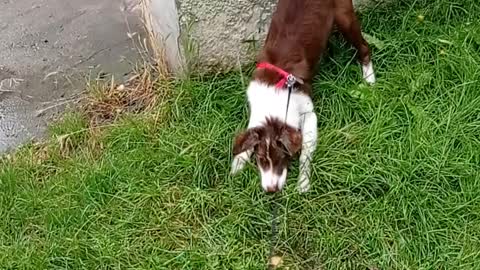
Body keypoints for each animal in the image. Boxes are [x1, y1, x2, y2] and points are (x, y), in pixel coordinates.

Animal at [232, 0, 376, 193]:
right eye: (261, 159)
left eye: (282, 157)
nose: (271, 191)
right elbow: (249, 135)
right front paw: (237, 163)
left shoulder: (308, 113)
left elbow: (305, 153)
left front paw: (303, 182)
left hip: (344, 17)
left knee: (364, 47)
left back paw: (369, 78)